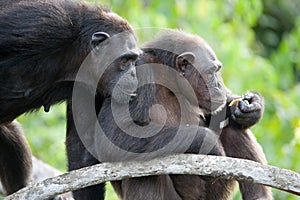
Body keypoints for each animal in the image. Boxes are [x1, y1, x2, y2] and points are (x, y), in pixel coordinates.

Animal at [65, 30, 272, 200]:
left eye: (218, 70)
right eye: (212, 71)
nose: (219, 84)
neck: (172, 81)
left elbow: (219, 111)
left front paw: (252, 107)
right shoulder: (135, 74)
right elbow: (114, 135)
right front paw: (207, 141)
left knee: (232, 128)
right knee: (145, 172)